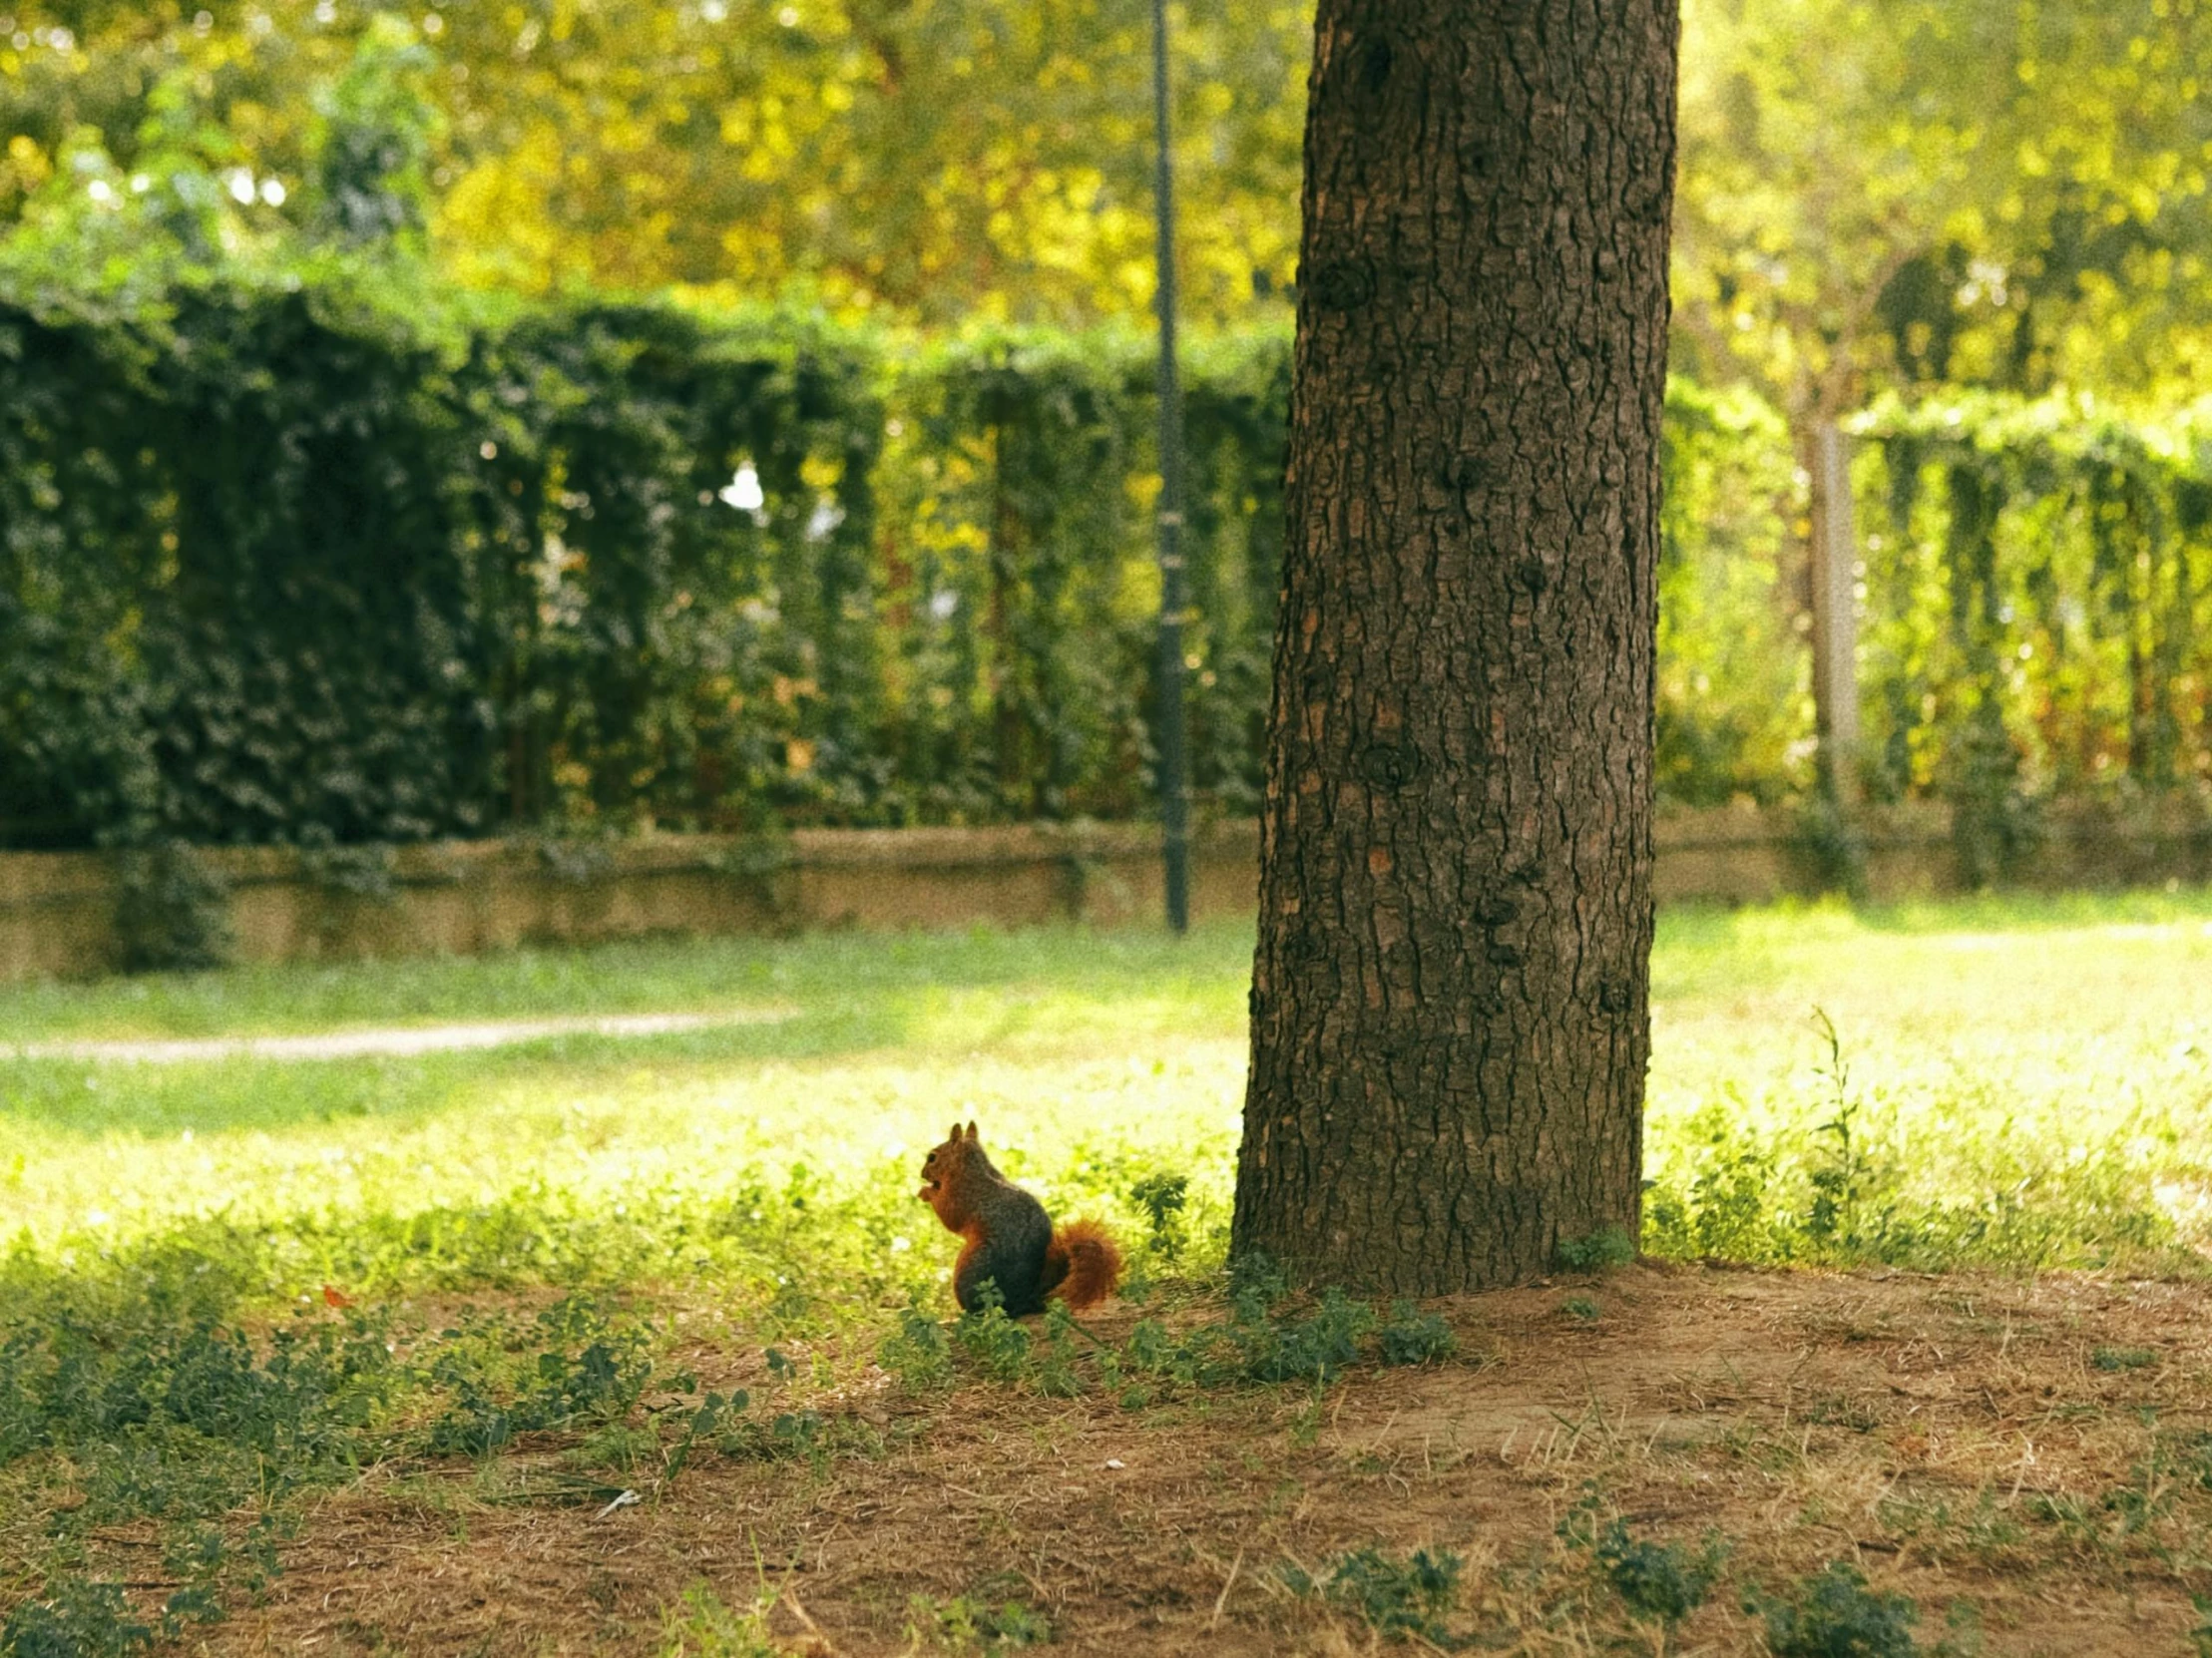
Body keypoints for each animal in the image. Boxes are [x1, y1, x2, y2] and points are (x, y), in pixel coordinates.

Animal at [915, 1122, 1123, 1317]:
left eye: (932, 1157)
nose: (922, 1173)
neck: (972, 1169)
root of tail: (1026, 1298)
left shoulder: (961, 1197)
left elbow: (949, 1216)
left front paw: (926, 1192)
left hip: (971, 1270)